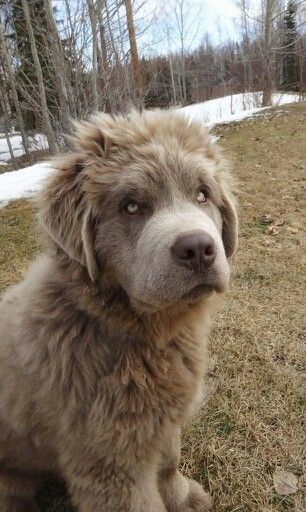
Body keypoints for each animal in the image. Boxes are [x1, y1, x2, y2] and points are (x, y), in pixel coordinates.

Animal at [0, 110, 238, 510]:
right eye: (131, 206)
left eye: (202, 195)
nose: (198, 249)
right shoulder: (108, 461)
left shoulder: (161, 419)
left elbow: (168, 460)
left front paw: (183, 497)